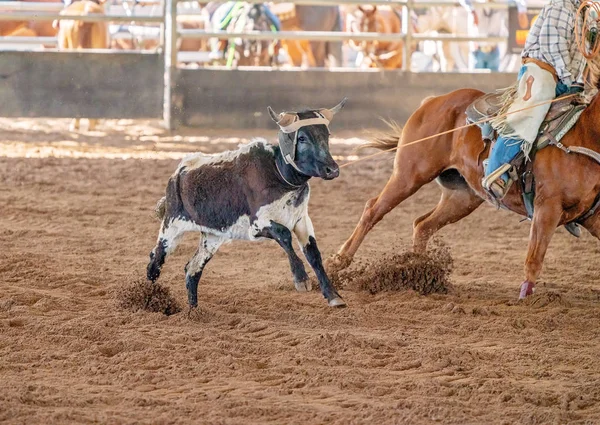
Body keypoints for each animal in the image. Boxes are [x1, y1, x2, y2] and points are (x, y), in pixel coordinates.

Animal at [146, 98, 346, 306]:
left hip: (212, 236)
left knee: (192, 269)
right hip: (171, 228)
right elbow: (284, 235)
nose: (332, 169)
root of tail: (178, 173)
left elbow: (313, 254)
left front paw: (333, 295)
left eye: (327, 135)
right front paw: (301, 278)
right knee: (155, 262)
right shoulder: (258, 224)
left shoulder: (301, 220)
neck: (278, 174)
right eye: (302, 138)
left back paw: (194, 310)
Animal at [330, 74, 600, 298]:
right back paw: (337, 264)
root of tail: (432, 101)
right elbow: (534, 257)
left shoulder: (592, 216)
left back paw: (418, 273)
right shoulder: (547, 207)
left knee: (423, 225)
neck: (584, 134)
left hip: (463, 197)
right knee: (373, 210)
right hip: (409, 175)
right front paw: (527, 299)